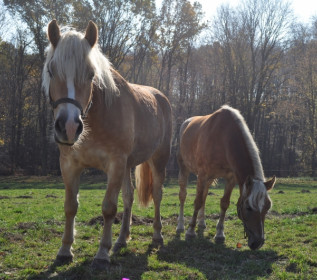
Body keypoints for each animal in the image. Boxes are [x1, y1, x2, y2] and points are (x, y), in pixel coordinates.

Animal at [41, 20, 172, 270]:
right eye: (52, 71)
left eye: (91, 74)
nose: (69, 127)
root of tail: (161, 97)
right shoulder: (69, 165)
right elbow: (70, 206)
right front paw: (65, 251)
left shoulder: (115, 164)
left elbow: (109, 208)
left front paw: (102, 254)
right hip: (128, 165)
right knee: (129, 198)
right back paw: (121, 239)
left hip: (158, 159)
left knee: (158, 195)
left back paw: (157, 236)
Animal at [175, 105, 274, 249]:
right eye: (248, 208)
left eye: (267, 207)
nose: (258, 242)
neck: (223, 138)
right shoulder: (202, 175)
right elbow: (197, 202)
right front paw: (190, 232)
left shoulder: (230, 178)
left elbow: (224, 203)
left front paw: (220, 234)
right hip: (185, 168)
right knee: (183, 195)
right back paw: (181, 225)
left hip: (209, 179)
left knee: (204, 195)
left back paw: (201, 222)